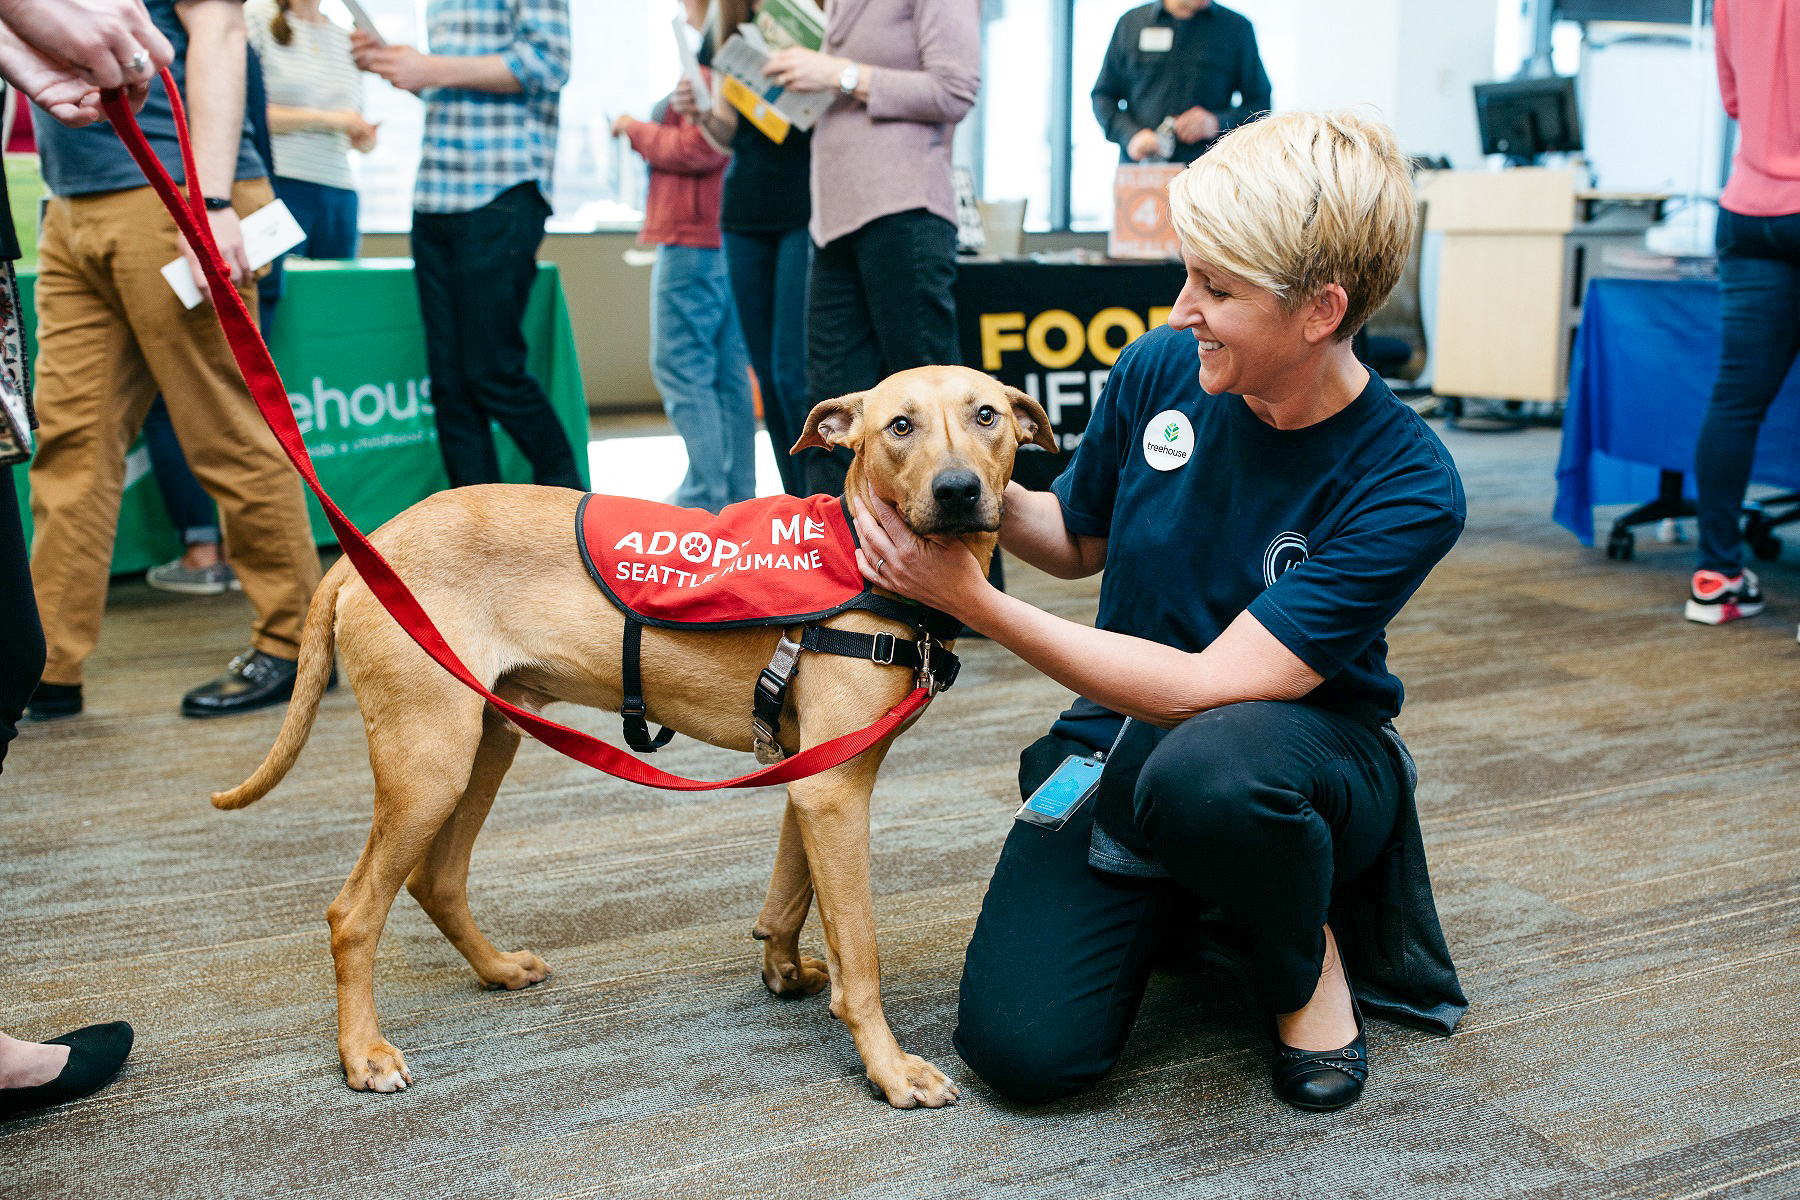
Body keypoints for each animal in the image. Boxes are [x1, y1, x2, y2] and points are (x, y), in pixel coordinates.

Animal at [214, 363, 1051, 1108]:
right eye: (899, 427)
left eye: (987, 416)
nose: (957, 491)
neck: (857, 555)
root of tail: (366, 551)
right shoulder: (835, 790)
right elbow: (862, 949)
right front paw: (889, 1068)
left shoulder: (811, 782)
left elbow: (790, 895)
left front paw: (783, 971)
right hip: (429, 765)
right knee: (353, 914)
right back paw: (362, 1054)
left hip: (485, 744)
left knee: (436, 879)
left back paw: (496, 969)